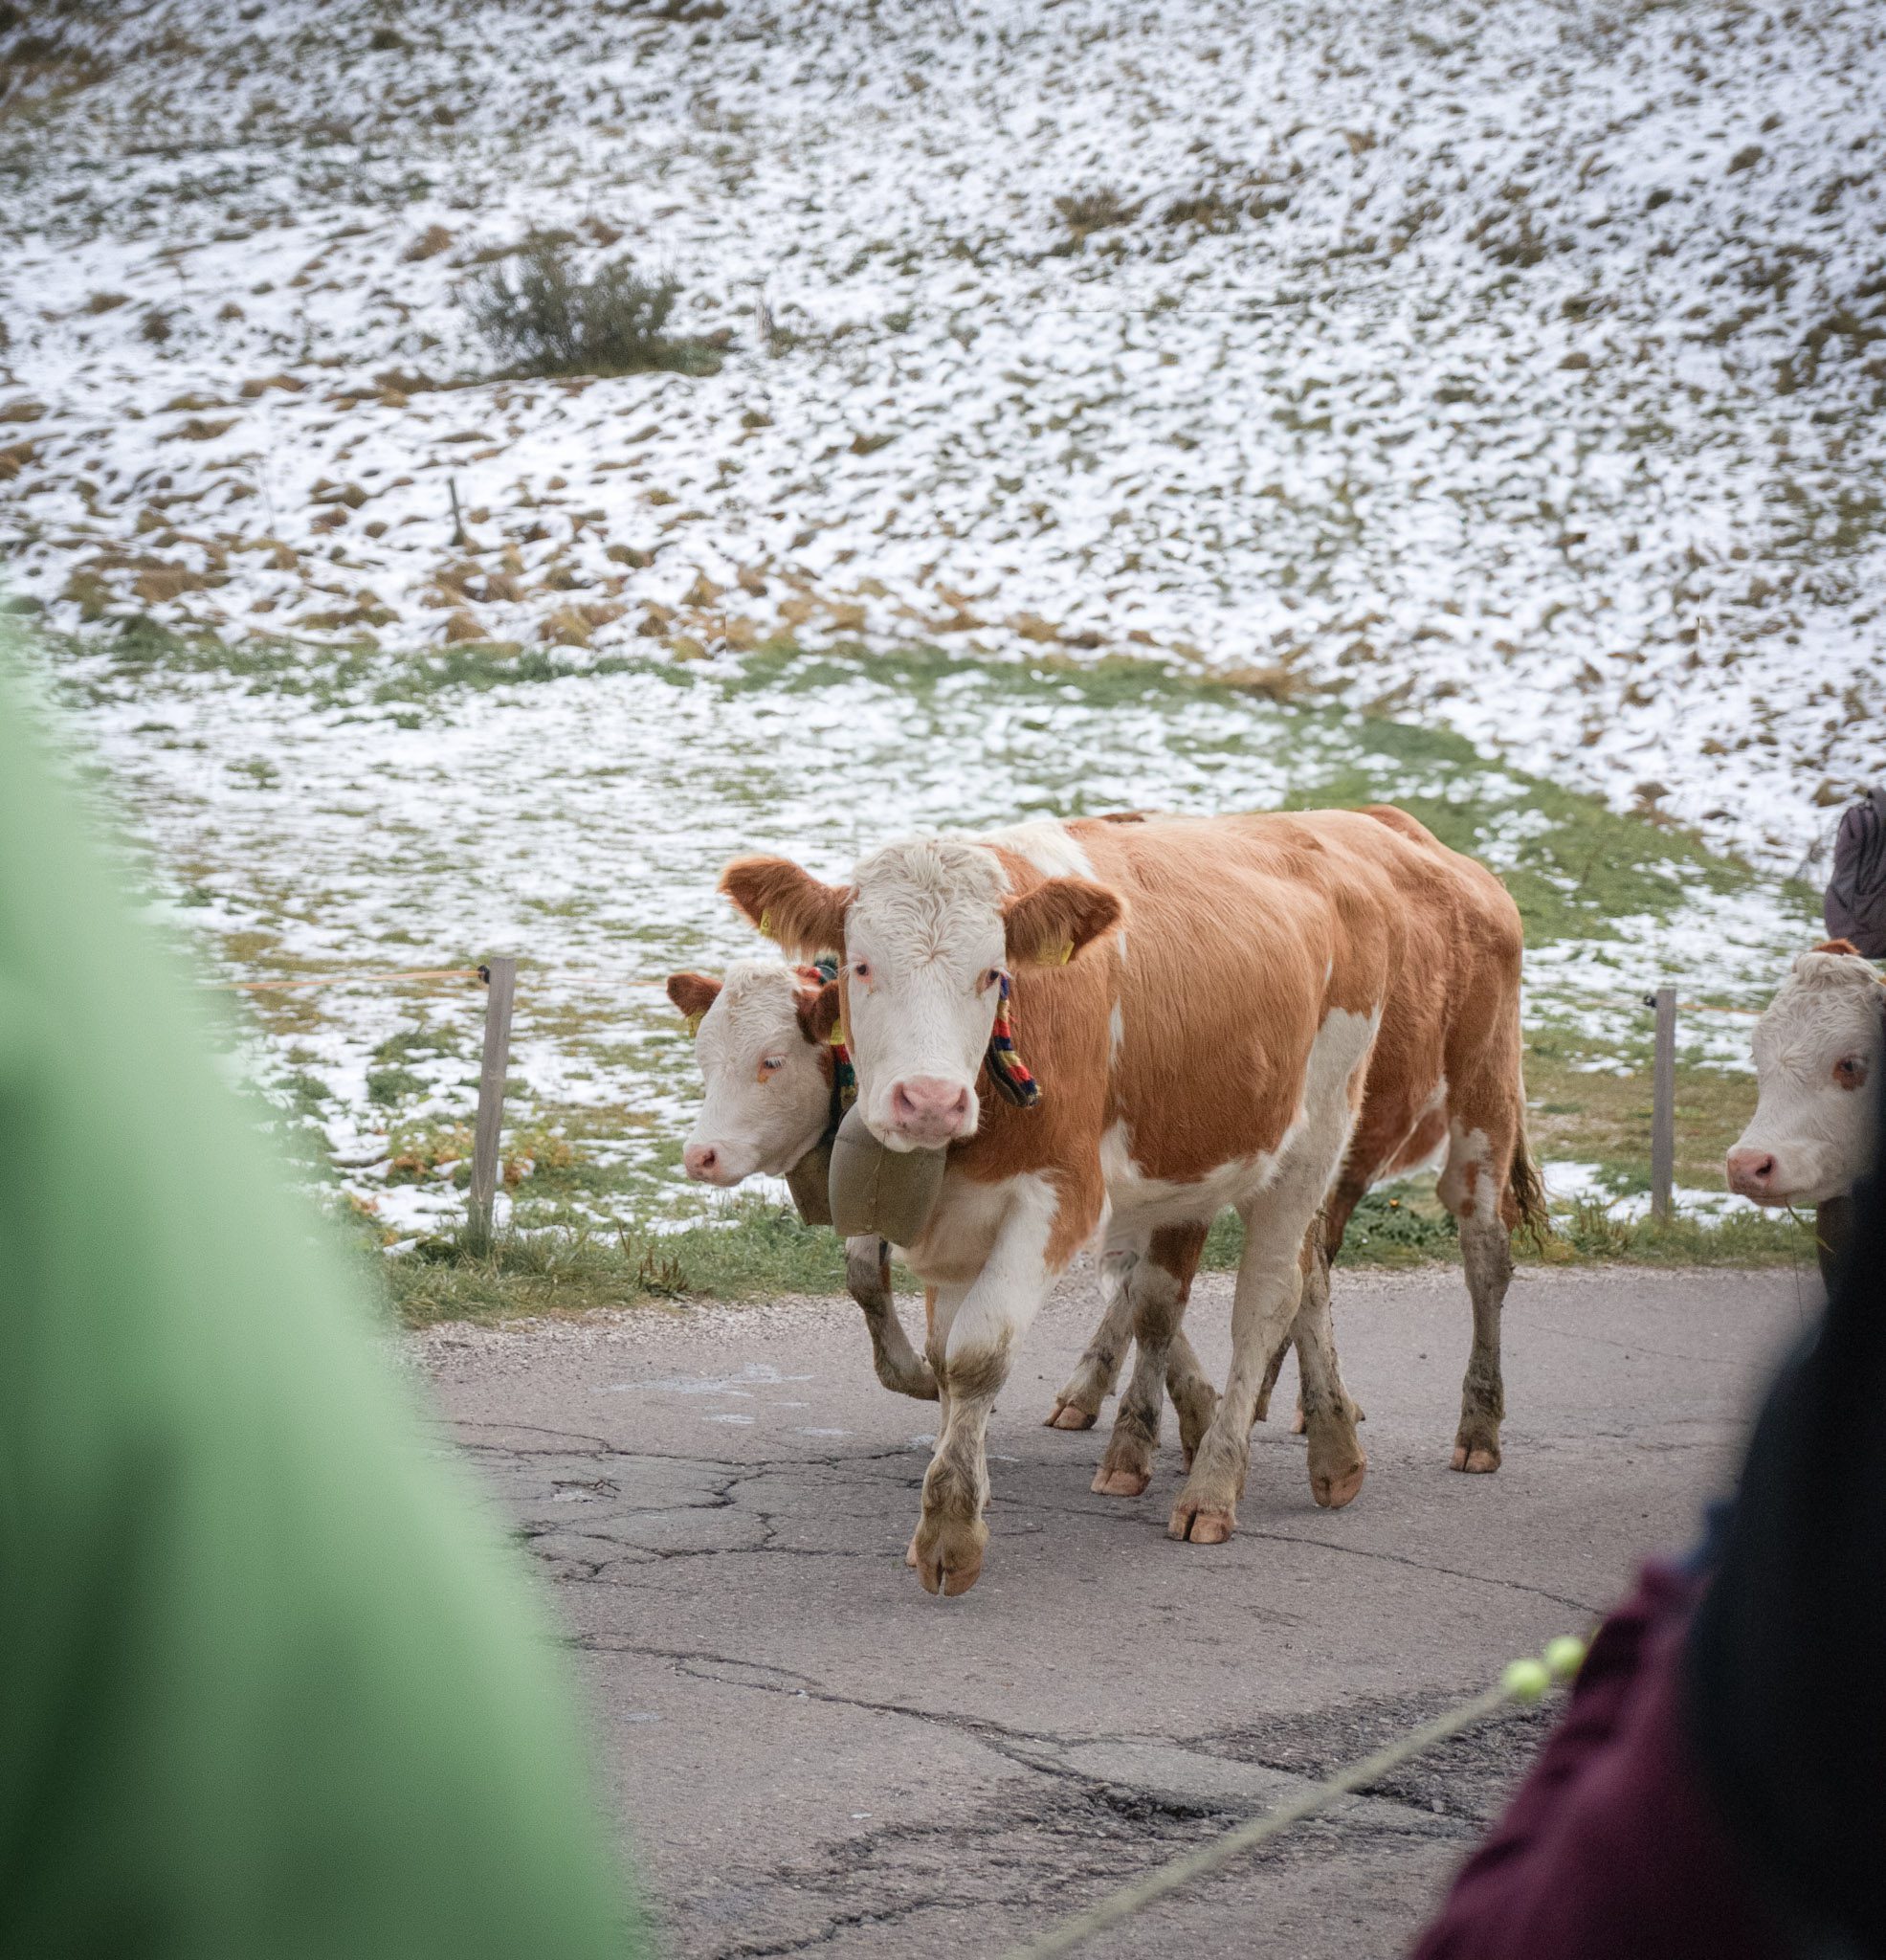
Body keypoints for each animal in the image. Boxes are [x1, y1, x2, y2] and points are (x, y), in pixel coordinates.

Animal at [717, 808, 1544, 1595]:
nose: (928, 1101)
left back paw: (1244, 1479)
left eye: (991, 974)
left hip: (1388, 1123)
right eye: (861, 967)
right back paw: (1329, 1450)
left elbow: (981, 1353)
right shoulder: (951, 1218)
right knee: (1265, 1281)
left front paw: (952, 1535)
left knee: (1311, 1291)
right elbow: (949, 1354)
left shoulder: (1063, 1193)